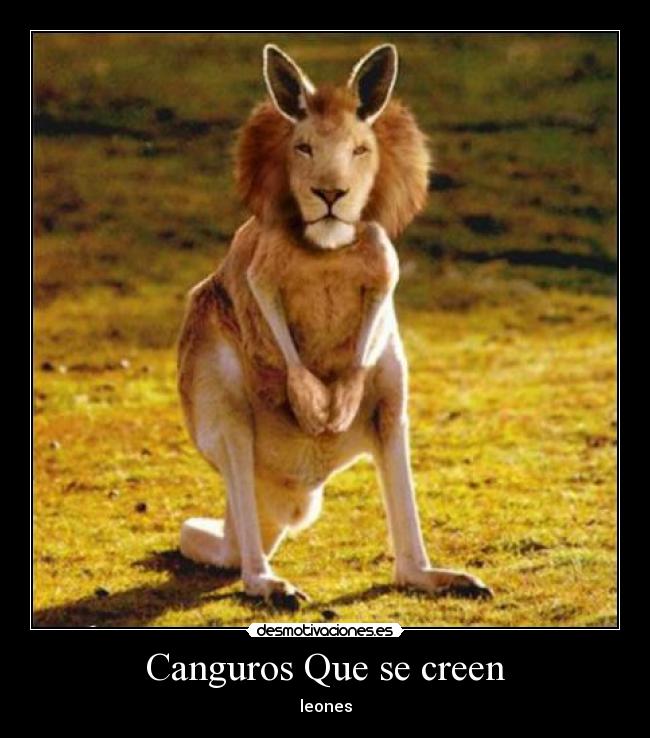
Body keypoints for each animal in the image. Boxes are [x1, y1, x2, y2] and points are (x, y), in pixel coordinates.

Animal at [177, 43, 492, 608]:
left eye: (360, 149)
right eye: (302, 147)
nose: (330, 193)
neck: (326, 247)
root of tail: (290, 491)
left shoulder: (382, 257)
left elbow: (377, 304)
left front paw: (335, 404)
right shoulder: (262, 264)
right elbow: (266, 301)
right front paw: (312, 401)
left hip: (392, 389)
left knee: (404, 553)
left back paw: (442, 576)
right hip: (215, 380)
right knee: (240, 487)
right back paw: (270, 583)